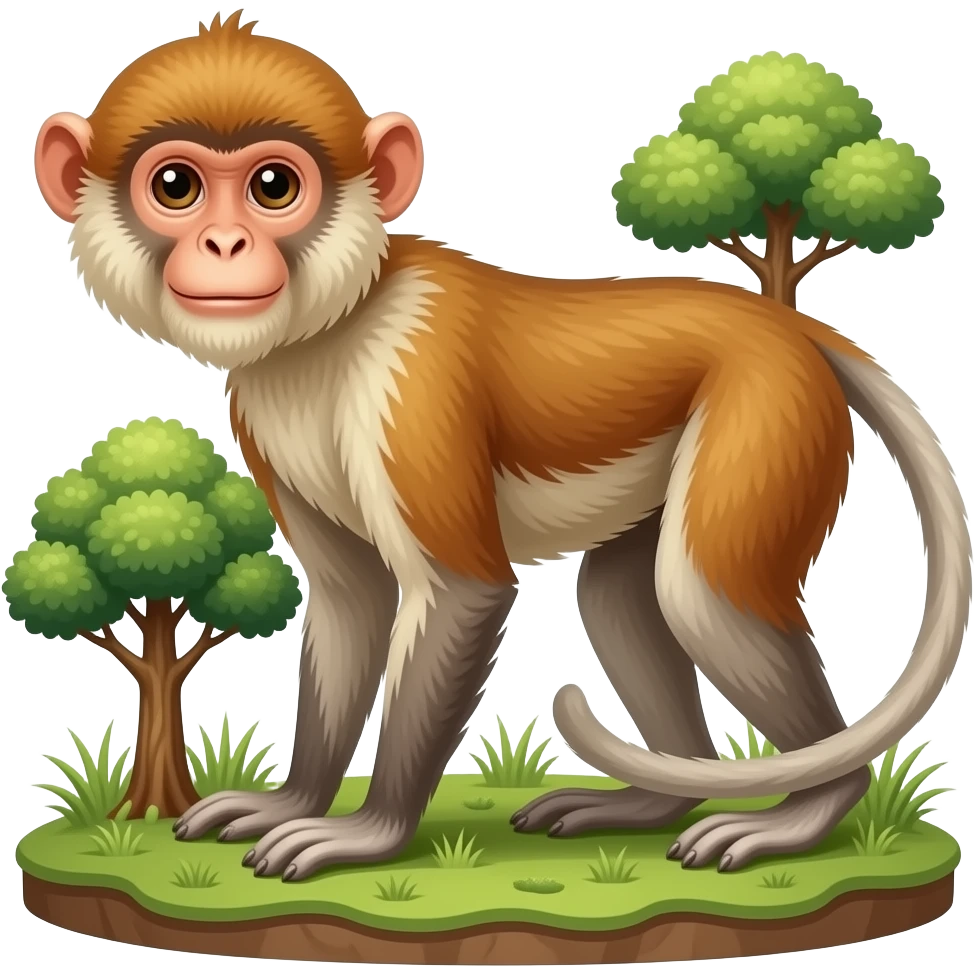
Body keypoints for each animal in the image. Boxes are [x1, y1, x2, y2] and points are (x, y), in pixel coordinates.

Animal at [33, 11, 971, 882]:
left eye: (272, 185)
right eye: (177, 185)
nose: (224, 244)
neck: (333, 325)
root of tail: (788, 329)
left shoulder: (409, 384)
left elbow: (461, 593)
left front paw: (366, 834)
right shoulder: (261, 412)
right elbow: (349, 600)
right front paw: (293, 801)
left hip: (767, 412)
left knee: (698, 590)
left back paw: (811, 807)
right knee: (622, 595)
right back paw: (657, 801)